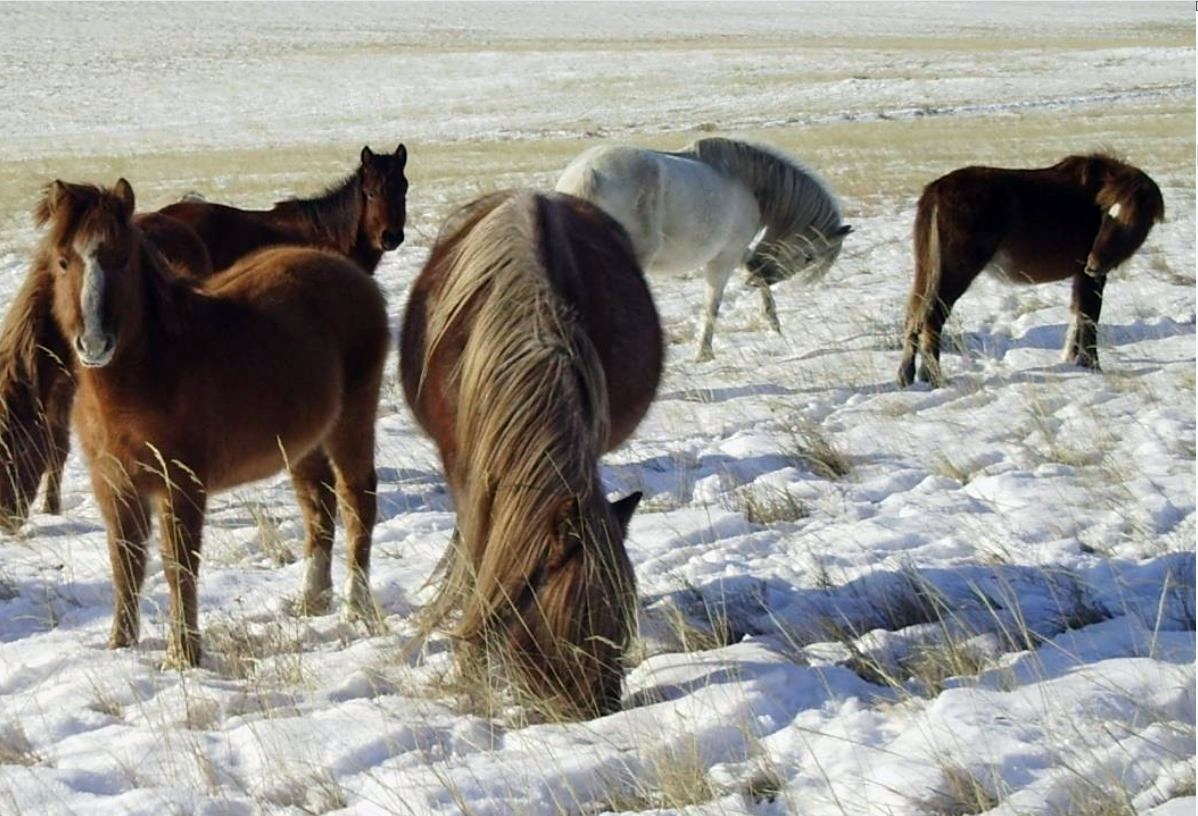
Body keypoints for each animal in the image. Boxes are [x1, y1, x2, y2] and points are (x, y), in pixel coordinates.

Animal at [38, 179, 388, 666]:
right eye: (63, 260)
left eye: (123, 258)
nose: (94, 344)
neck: (152, 368)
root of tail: (352, 275)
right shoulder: (115, 483)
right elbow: (125, 563)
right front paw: (120, 645)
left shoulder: (182, 484)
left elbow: (178, 565)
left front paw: (183, 654)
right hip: (303, 443)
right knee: (319, 507)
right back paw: (311, 601)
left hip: (351, 423)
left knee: (358, 503)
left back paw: (358, 608)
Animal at [402, 188, 666, 714]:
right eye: (572, 624)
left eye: (620, 622)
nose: (597, 712)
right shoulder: (466, 472)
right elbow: (479, 561)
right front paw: (470, 666)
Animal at [558, 137, 852, 359]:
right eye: (808, 257)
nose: (758, 277)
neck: (747, 182)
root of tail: (589, 175)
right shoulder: (724, 257)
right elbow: (712, 306)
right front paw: (704, 354)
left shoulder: (738, 251)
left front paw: (773, 323)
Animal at [900, 153, 1159, 388]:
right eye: (1106, 215)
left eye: (1128, 221)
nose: (1093, 262)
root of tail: (936, 190)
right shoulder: (1089, 277)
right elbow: (1089, 317)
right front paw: (1091, 365)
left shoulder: (1081, 274)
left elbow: (1077, 315)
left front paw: (1071, 358)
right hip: (955, 271)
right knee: (932, 319)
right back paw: (935, 378)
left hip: (927, 268)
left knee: (914, 316)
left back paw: (908, 376)